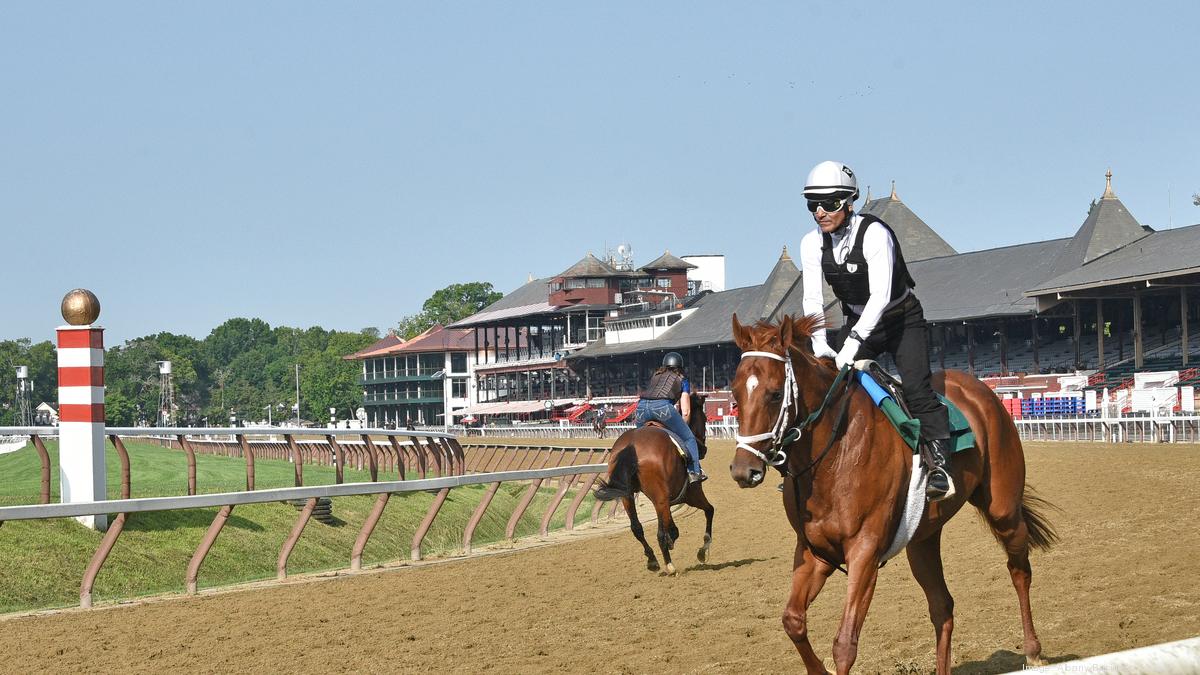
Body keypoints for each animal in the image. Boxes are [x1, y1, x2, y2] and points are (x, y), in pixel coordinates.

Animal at [592, 391, 710, 576]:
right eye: (704, 418)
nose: (703, 449)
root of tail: (631, 445)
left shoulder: (665, 499)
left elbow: (667, 525)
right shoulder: (691, 494)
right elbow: (709, 511)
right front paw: (702, 552)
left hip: (627, 495)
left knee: (636, 528)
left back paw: (653, 560)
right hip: (660, 496)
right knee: (660, 533)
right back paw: (669, 564)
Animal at [724, 314, 1056, 672]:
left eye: (774, 394)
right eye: (735, 395)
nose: (744, 470)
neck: (834, 454)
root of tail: (983, 391)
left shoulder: (865, 552)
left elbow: (844, 645)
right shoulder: (816, 552)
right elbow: (793, 621)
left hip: (1003, 509)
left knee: (1019, 569)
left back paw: (1033, 650)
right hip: (923, 540)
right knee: (942, 607)